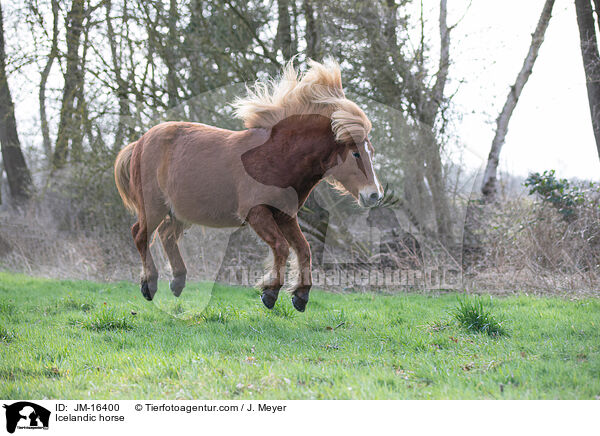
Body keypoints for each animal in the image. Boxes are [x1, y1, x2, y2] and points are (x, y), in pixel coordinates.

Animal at [115, 59, 382, 312]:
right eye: (356, 153)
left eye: (371, 150)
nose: (374, 195)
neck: (277, 157)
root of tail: (139, 143)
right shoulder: (256, 212)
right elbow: (281, 247)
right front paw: (270, 292)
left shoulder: (285, 215)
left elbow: (303, 248)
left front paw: (301, 295)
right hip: (153, 206)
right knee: (140, 234)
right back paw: (149, 284)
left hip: (179, 211)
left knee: (166, 235)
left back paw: (178, 282)